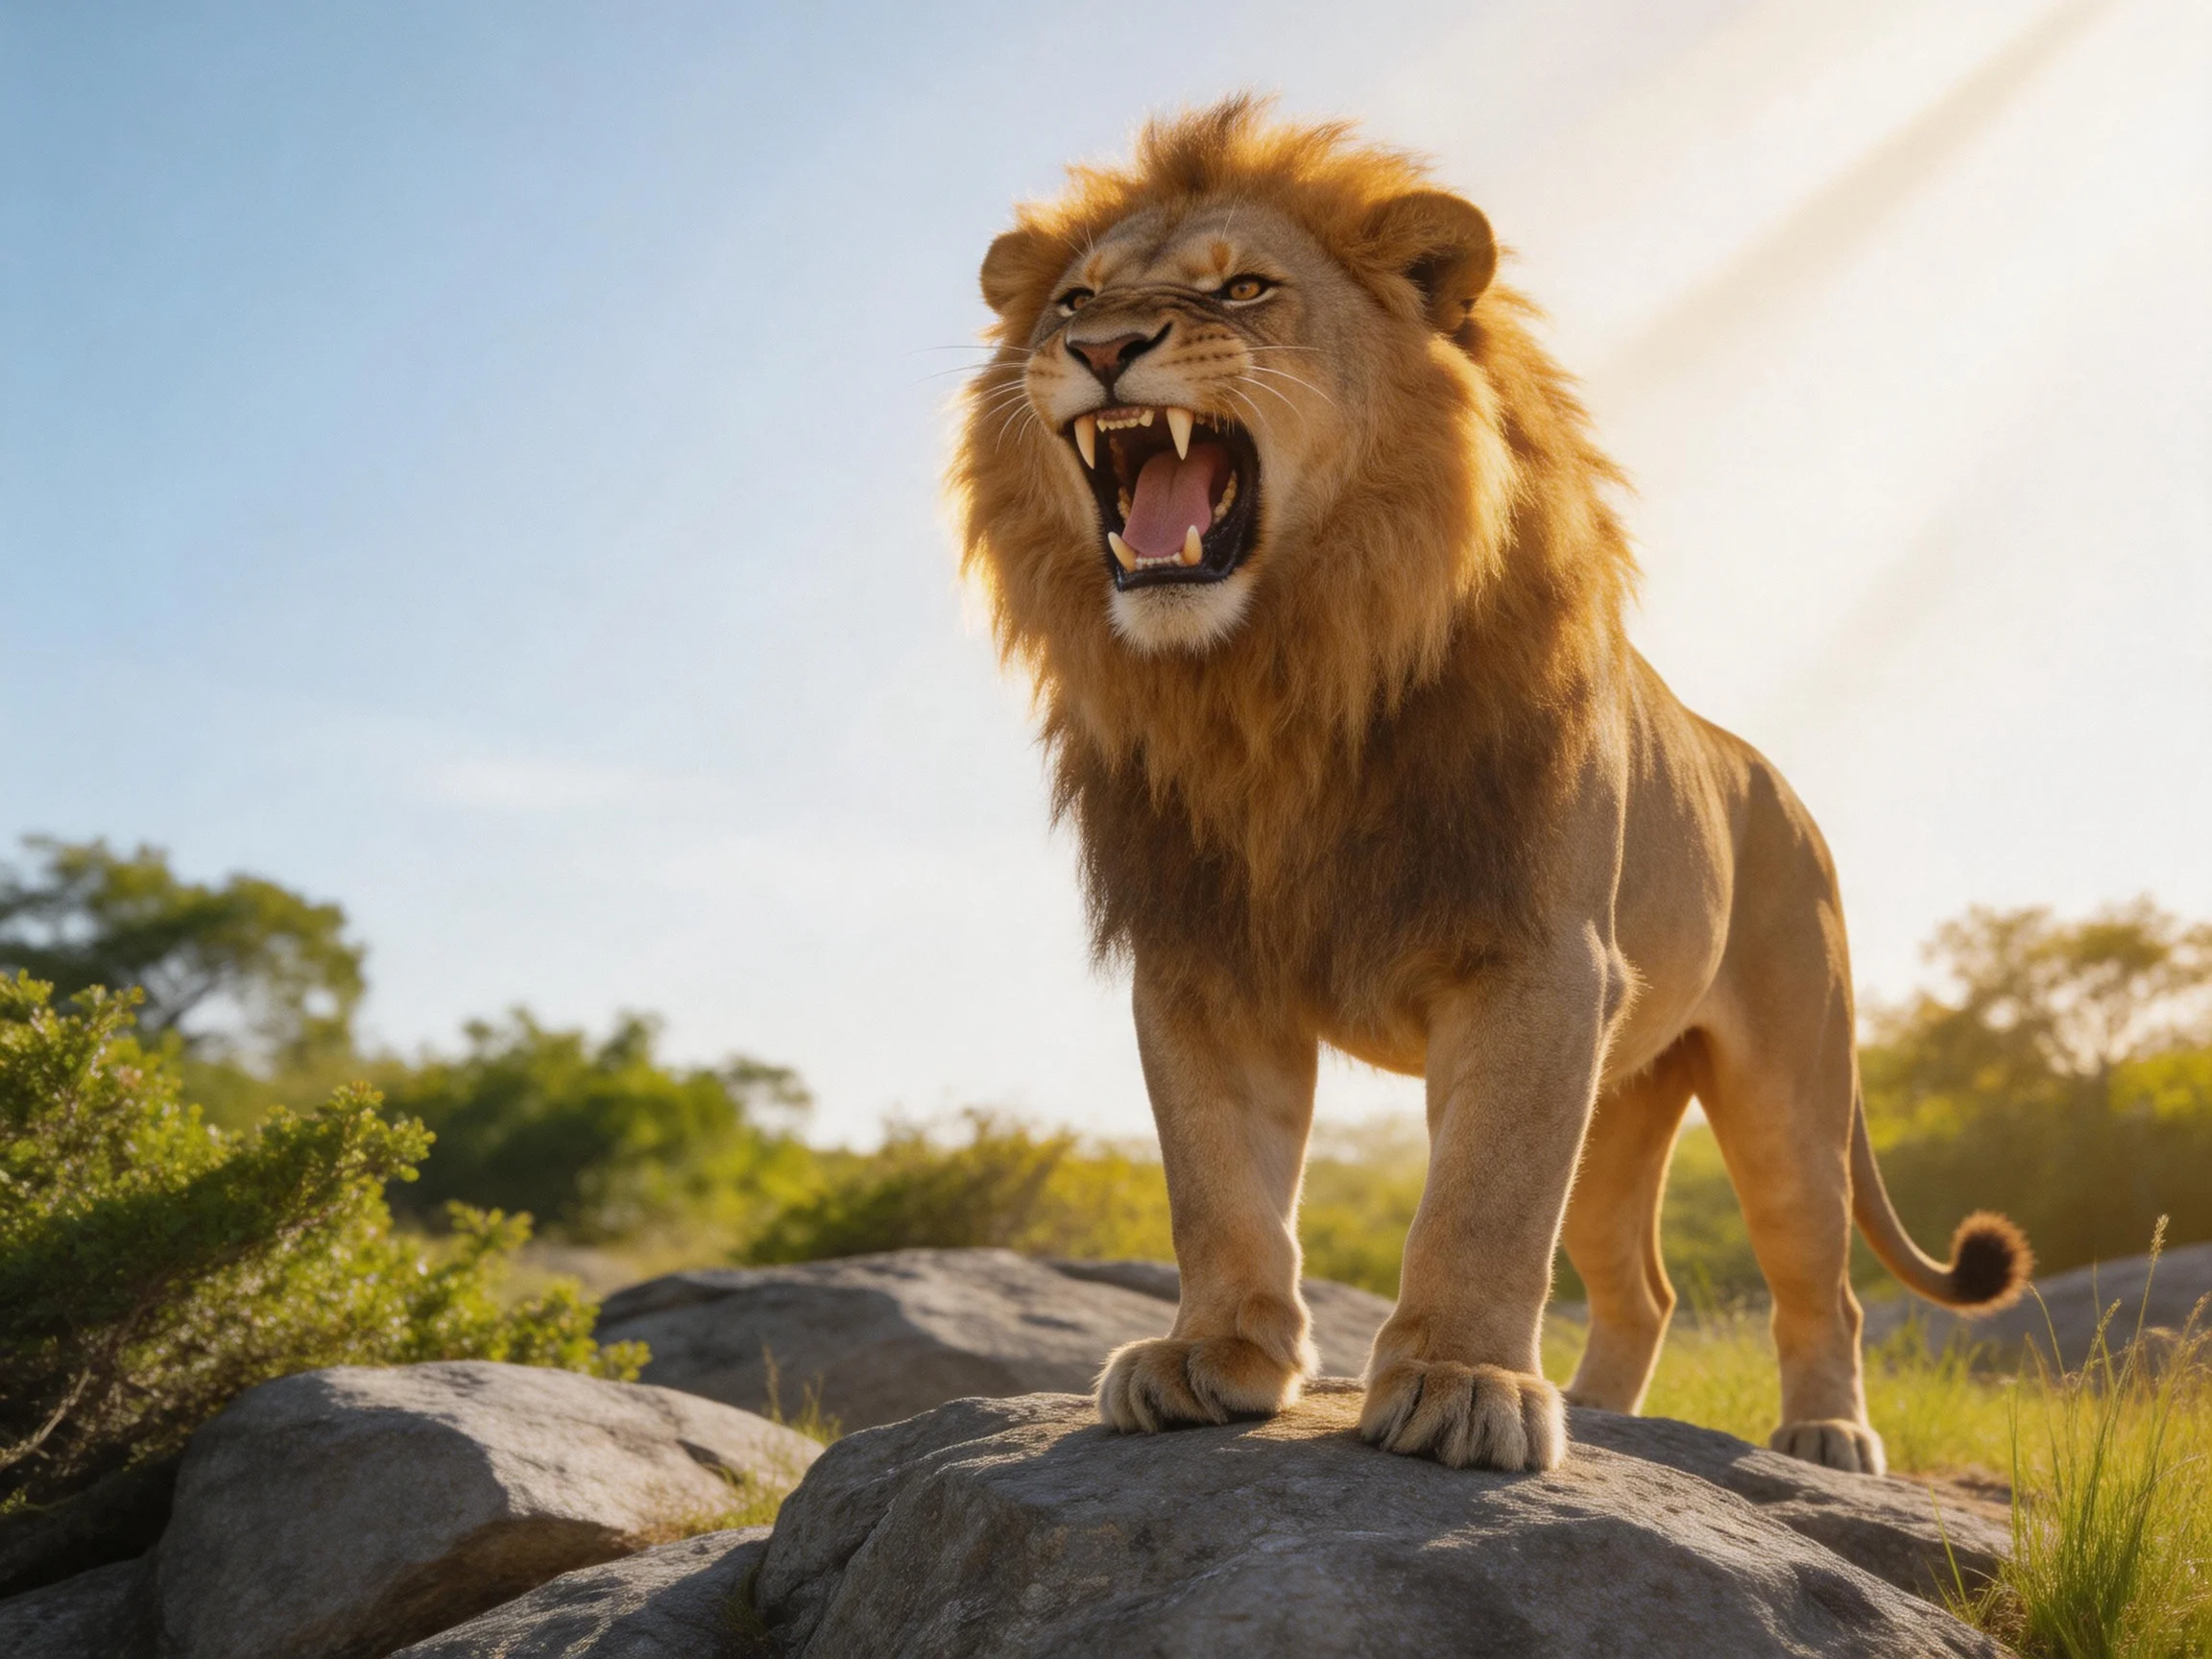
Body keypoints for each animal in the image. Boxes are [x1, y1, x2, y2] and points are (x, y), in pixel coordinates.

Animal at [952, 96, 2030, 1476]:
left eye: (1244, 289)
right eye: (1073, 299)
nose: (1098, 348)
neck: (1274, 685)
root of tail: (1771, 777)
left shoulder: (1539, 963)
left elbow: (1484, 1199)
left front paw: (1462, 1384)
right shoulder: (1201, 961)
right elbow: (1218, 1182)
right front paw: (1213, 1356)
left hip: (1790, 1084)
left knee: (1817, 1279)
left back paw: (1824, 1437)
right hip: (1622, 1102)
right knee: (1641, 1286)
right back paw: (1611, 1414)